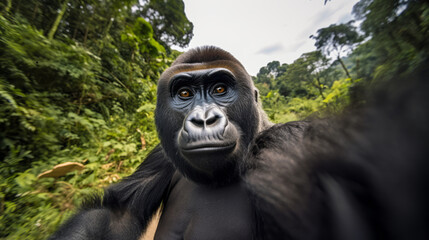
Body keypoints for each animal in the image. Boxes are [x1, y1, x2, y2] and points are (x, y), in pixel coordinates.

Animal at [49, 47, 428, 240]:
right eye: (184, 94)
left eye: (220, 89)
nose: (203, 120)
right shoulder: (161, 154)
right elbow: (116, 214)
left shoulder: (286, 143)